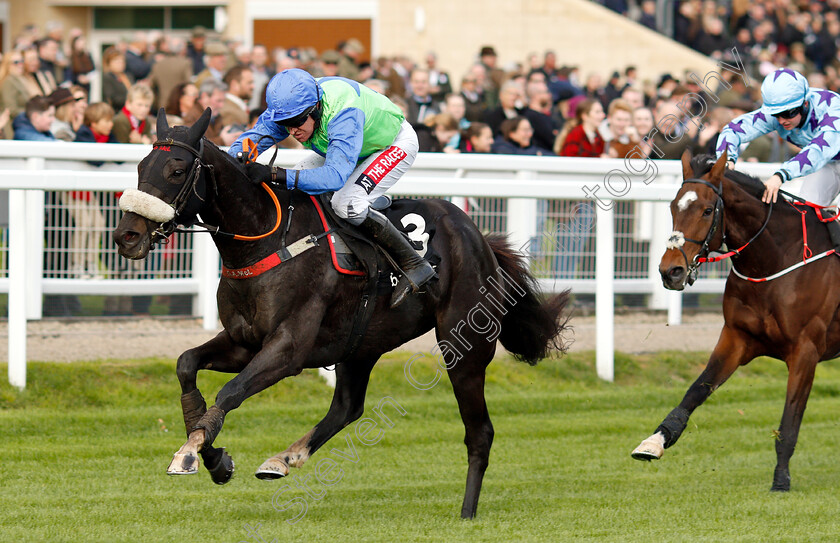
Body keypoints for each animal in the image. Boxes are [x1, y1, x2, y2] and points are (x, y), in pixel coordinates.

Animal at [111, 109, 572, 520]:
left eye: (176, 169)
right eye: (139, 166)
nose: (126, 236)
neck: (266, 239)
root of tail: (476, 234)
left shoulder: (288, 349)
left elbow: (230, 393)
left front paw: (191, 454)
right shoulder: (244, 342)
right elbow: (187, 364)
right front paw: (212, 455)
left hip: (465, 345)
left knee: (480, 432)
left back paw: (467, 512)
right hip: (360, 343)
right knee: (348, 407)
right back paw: (284, 458)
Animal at [632, 151, 840, 490]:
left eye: (707, 210)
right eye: (673, 206)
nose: (670, 271)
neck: (775, 260)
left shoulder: (806, 349)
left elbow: (790, 420)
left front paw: (781, 479)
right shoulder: (736, 338)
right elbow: (695, 391)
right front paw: (654, 441)